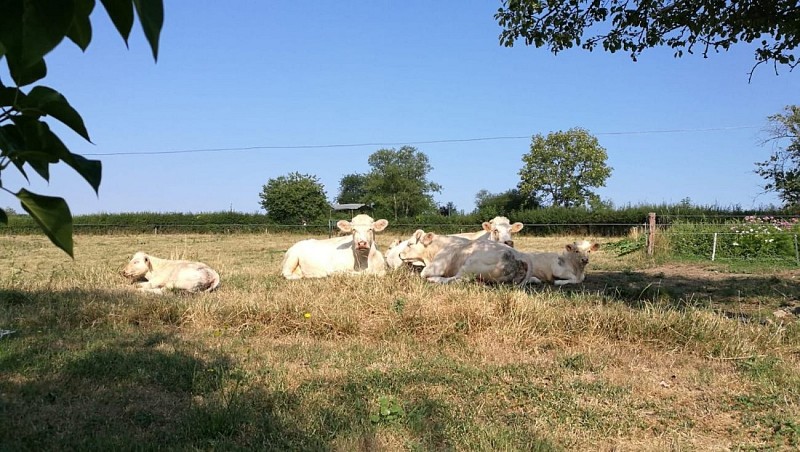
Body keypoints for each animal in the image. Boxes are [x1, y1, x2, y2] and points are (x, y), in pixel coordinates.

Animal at [398, 231, 532, 284]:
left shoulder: (435, 267)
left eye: (410, 244)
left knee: (458, 280)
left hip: (469, 264)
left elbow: (422, 273)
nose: (399, 254)